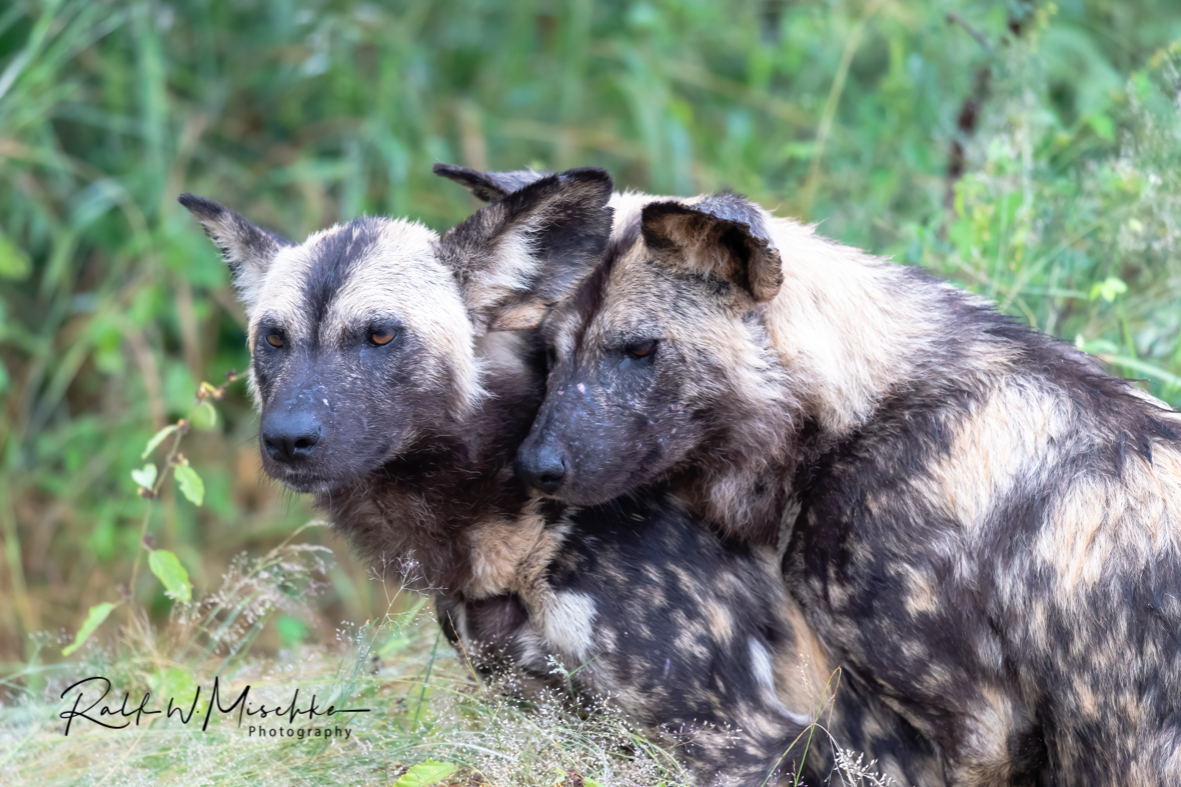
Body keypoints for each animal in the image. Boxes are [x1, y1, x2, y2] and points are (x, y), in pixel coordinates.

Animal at [177, 177, 940, 784]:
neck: (512, 522)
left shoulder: (745, 738)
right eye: (273, 338)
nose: (287, 438)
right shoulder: (542, 714)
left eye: (380, 336)